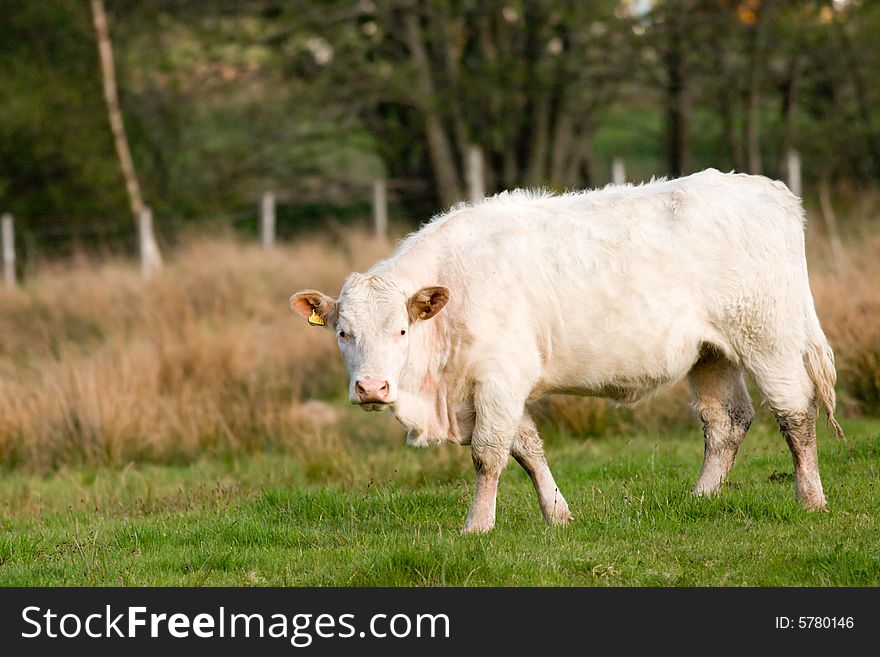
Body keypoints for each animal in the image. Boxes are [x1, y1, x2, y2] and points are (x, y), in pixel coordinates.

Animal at [292, 169, 844, 532]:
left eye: (402, 331)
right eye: (343, 333)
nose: (371, 387)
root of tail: (766, 188)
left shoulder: (500, 378)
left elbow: (488, 455)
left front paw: (477, 526)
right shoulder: (494, 388)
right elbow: (527, 448)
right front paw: (557, 514)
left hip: (768, 338)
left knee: (795, 411)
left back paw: (811, 499)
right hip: (712, 353)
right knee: (727, 421)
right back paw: (701, 499)